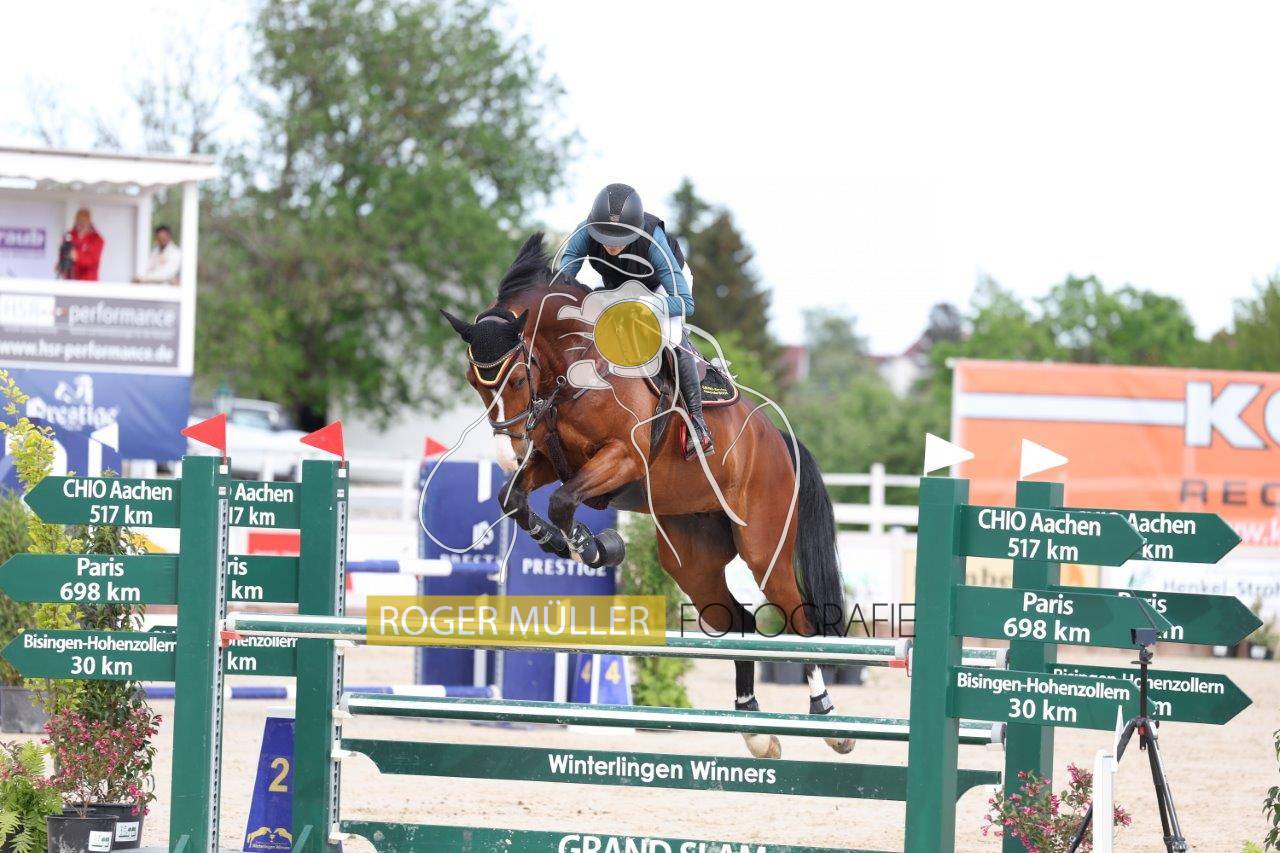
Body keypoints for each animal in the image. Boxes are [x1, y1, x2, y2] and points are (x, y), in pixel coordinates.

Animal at [441, 233, 852, 758]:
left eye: (514, 378)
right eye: (474, 382)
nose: (507, 452)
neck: (573, 369)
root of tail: (778, 438)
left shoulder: (622, 459)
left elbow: (561, 501)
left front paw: (592, 547)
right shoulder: (553, 461)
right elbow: (514, 499)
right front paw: (566, 543)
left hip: (764, 548)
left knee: (798, 619)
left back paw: (829, 718)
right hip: (691, 560)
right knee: (737, 620)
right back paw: (755, 729)